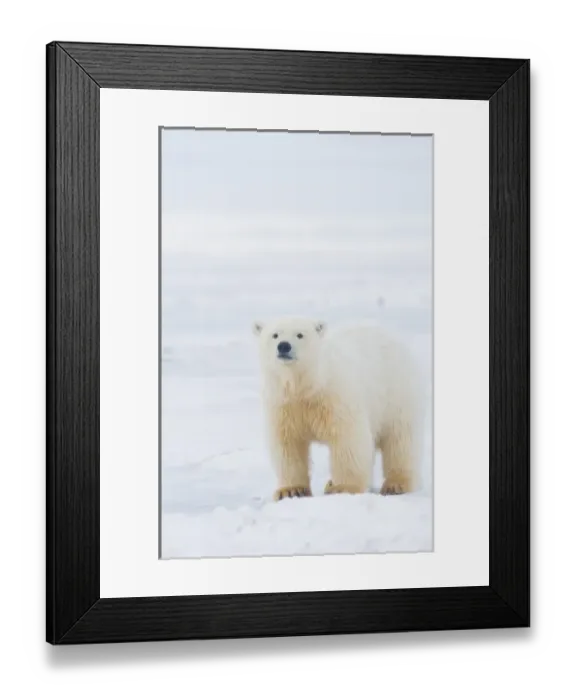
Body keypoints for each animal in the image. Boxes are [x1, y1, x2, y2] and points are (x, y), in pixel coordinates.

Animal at [252, 316, 423, 502]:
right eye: (275, 335)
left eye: (300, 334)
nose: (284, 346)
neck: (308, 386)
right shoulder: (284, 405)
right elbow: (287, 444)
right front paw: (291, 491)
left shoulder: (336, 397)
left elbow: (347, 440)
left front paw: (343, 488)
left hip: (395, 393)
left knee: (399, 439)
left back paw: (396, 484)